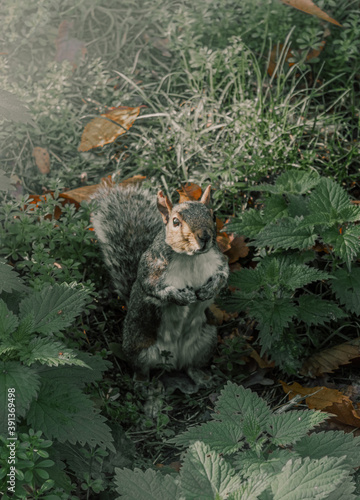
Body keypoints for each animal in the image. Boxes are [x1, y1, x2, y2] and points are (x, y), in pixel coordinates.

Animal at [92, 184, 228, 386]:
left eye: (213, 216)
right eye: (175, 222)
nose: (204, 236)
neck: (191, 258)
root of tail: (173, 361)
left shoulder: (219, 260)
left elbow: (224, 275)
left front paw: (209, 289)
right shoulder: (152, 270)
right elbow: (155, 289)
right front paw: (181, 296)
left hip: (206, 341)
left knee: (191, 365)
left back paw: (201, 377)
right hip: (139, 347)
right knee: (141, 368)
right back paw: (143, 384)